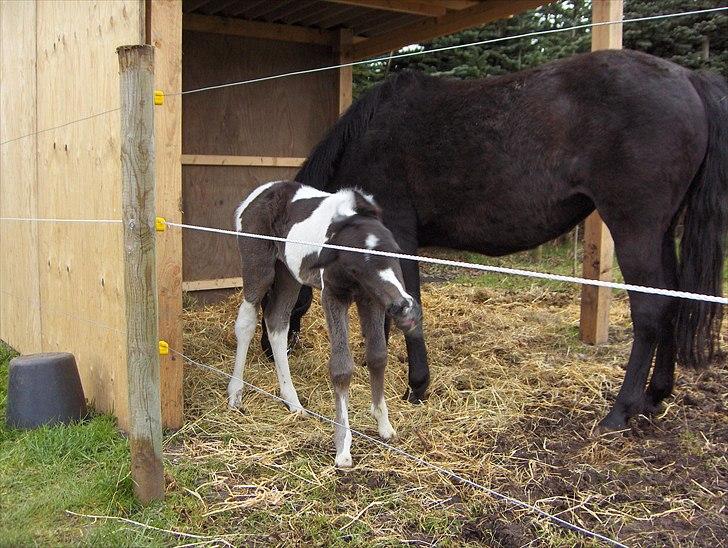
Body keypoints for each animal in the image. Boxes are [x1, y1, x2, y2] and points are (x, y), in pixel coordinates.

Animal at [228, 180, 420, 466]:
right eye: (356, 266)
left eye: (395, 254)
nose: (403, 308)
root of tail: (259, 193)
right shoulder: (333, 294)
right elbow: (341, 367)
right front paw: (343, 448)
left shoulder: (370, 297)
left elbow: (377, 356)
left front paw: (384, 425)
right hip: (258, 266)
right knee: (246, 322)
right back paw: (235, 394)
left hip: (288, 275)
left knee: (277, 323)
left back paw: (293, 402)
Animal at [264, 48, 724, 432]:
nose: (270, 351)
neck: (367, 137)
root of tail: (689, 78)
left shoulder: (397, 237)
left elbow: (407, 302)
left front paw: (417, 386)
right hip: (661, 230)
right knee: (673, 299)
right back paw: (655, 395)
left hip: (635, 228)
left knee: (650, 310)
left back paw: (621, 411)